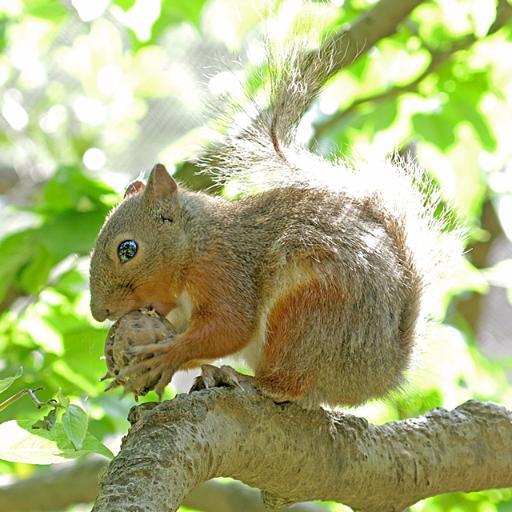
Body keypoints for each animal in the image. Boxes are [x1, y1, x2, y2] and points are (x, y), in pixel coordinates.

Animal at [88, 35, 456, 408]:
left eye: (128, 249)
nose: (100, 313)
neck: (196, 243)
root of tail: (381, 374)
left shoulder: (224, 270)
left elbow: (231, 326)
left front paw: (167, 354)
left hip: (308, 311)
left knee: (290, 383)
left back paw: (245, 379)